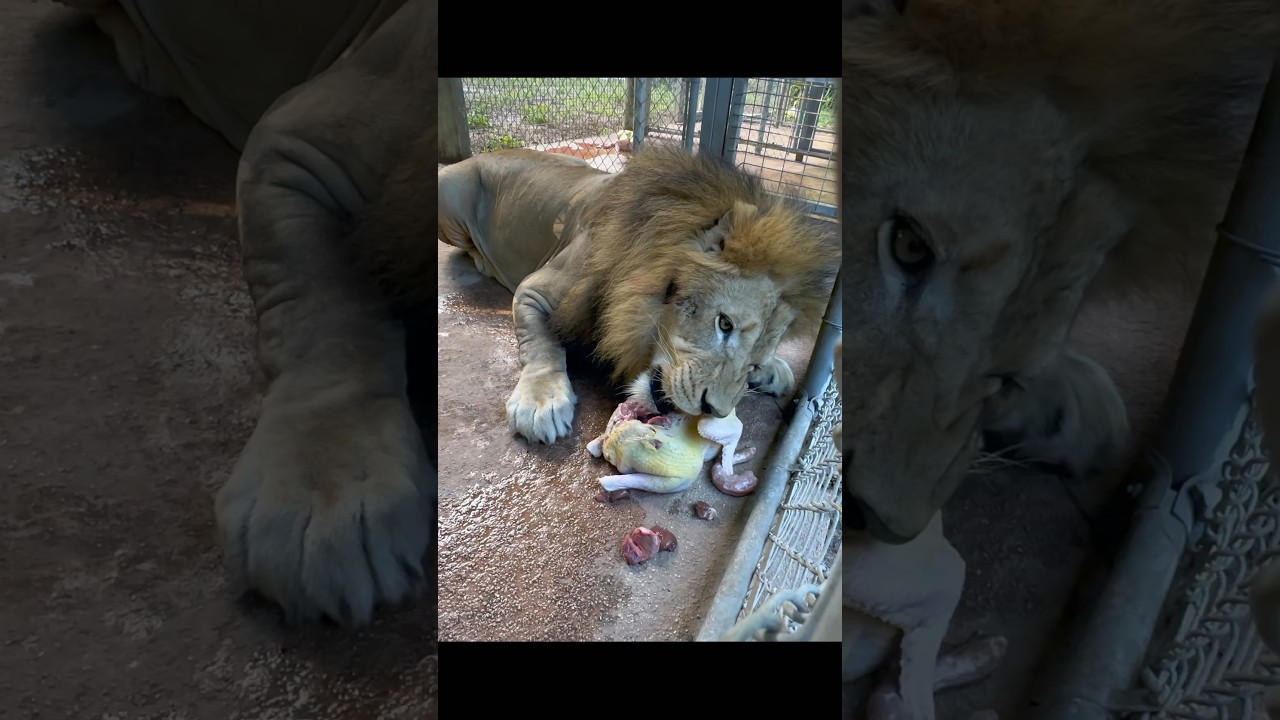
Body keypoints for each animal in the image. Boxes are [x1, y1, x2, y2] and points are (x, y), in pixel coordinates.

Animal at [436, 145, 839, 447]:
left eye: (753, 362)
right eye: (724, 325)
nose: (712, 409)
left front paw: (774, 371)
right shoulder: (534, 291)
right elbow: (542, 346)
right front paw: (541, 402)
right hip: (448, 194)